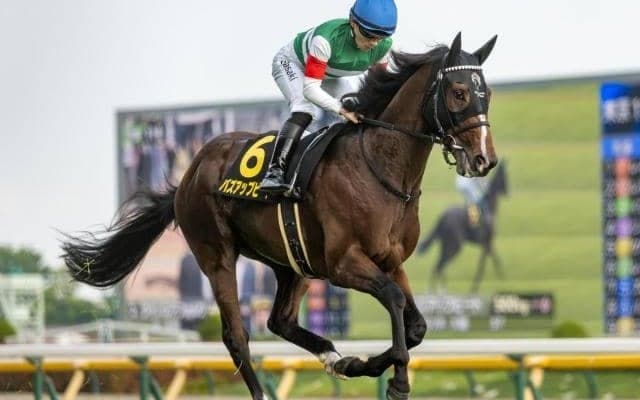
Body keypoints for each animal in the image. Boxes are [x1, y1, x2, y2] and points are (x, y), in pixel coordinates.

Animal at [61, 32, 498, 400]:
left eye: (487, 93)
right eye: (459, 92)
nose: (484, 159)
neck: (380, 168)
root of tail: (189, 174)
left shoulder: (390, 260)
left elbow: (416, 325)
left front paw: (365, 363)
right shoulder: (344, 264)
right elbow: (393, 301)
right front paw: (398, 380)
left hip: (293, 262)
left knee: (279, 321)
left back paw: (337, 357)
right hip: (216, 254)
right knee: (237, 335)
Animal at [417, 161, 509, 293]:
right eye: (505, 176)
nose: (508, 192)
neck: (489, 207)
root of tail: (442, 217)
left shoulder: (487, 243)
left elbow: (494, 259)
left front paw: (502, 278)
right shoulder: (486, 242)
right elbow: (485, 264)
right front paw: (476, 287)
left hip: (446, 244)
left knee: (438, 265)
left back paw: (436, 291)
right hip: (455, 245)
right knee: (440, 265)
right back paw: (439, 291)